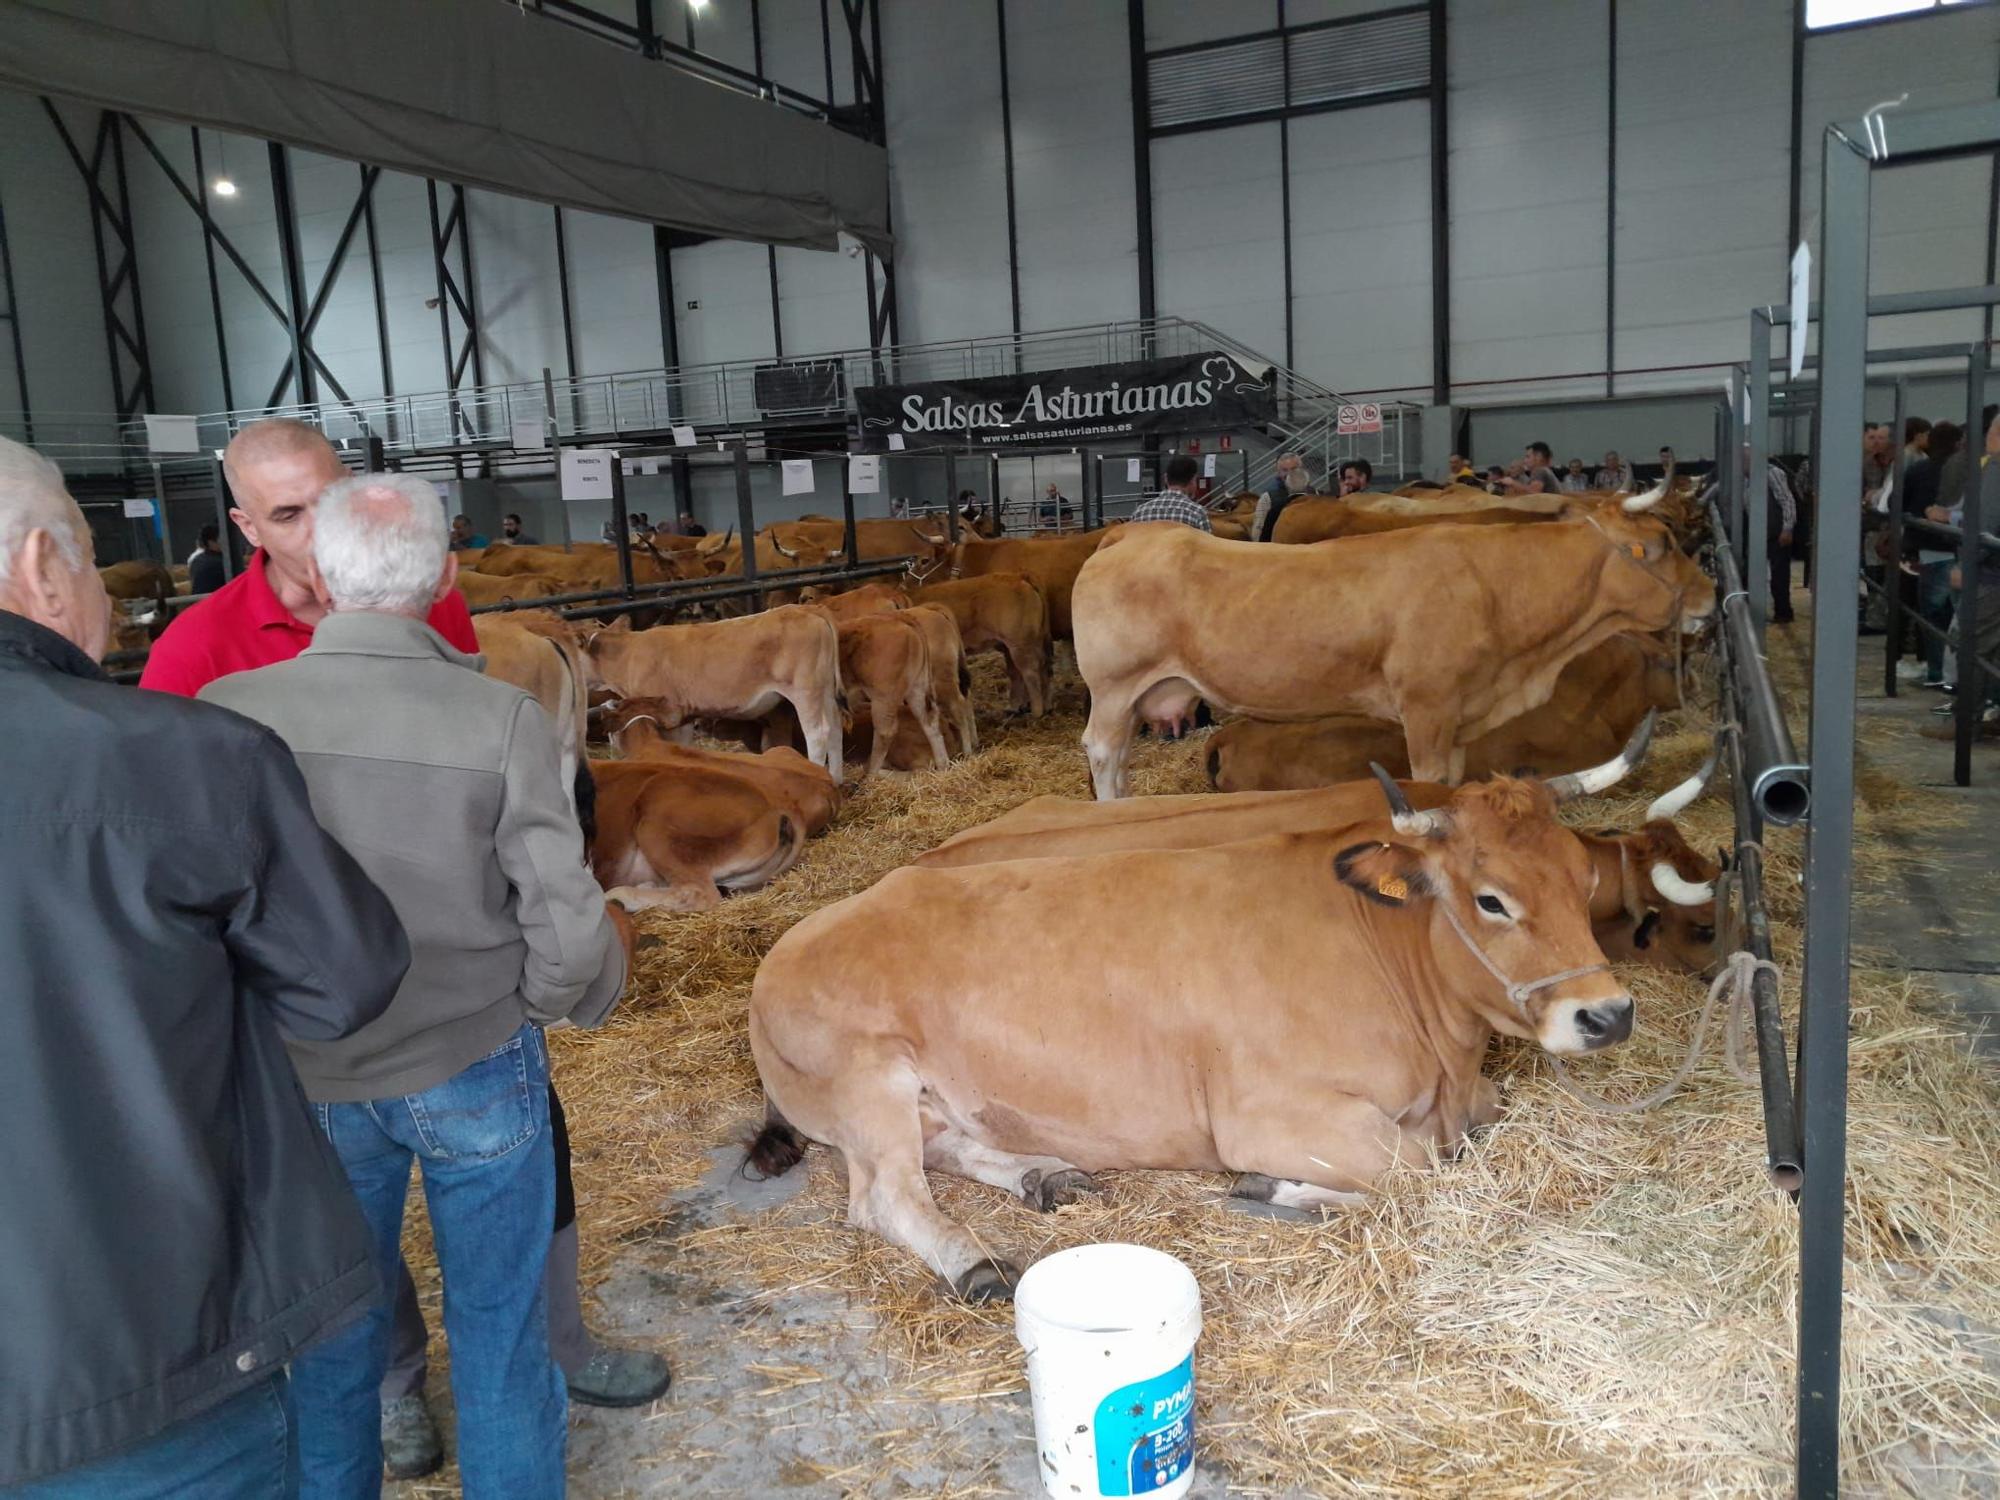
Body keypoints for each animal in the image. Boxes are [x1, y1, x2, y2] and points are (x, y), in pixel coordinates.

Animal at [584, 608, 852, 788]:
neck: (628, 654)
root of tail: (807, 609)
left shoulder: (667, 713)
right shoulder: (683, 716)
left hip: (805, 691)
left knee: (818, 733)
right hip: (825, 691)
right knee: (835, 728)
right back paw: (836, 779)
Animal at [752, 768, 1640, 1296]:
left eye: (1586, 878)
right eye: (1491, 900)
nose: (1608, 1013)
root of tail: (798, 936)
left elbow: (1478, 1125)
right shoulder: (1268, 1114)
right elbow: (1419, 1169)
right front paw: (1275, 1189)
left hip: (930, 1098)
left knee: (946, 1148)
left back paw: (1045, 1175)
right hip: (866, 1082)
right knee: (886, 1194)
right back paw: (974, 1260)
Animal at [1072, 490, 1712, 800]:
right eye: (1659, 546)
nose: (1710, 596)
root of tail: (1133, 533)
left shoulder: (1459, 716)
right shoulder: (1427, 707)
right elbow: (1424, 782)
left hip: (1140, 694)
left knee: (1122, 759)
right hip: (1112, 688)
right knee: (1102, 753)